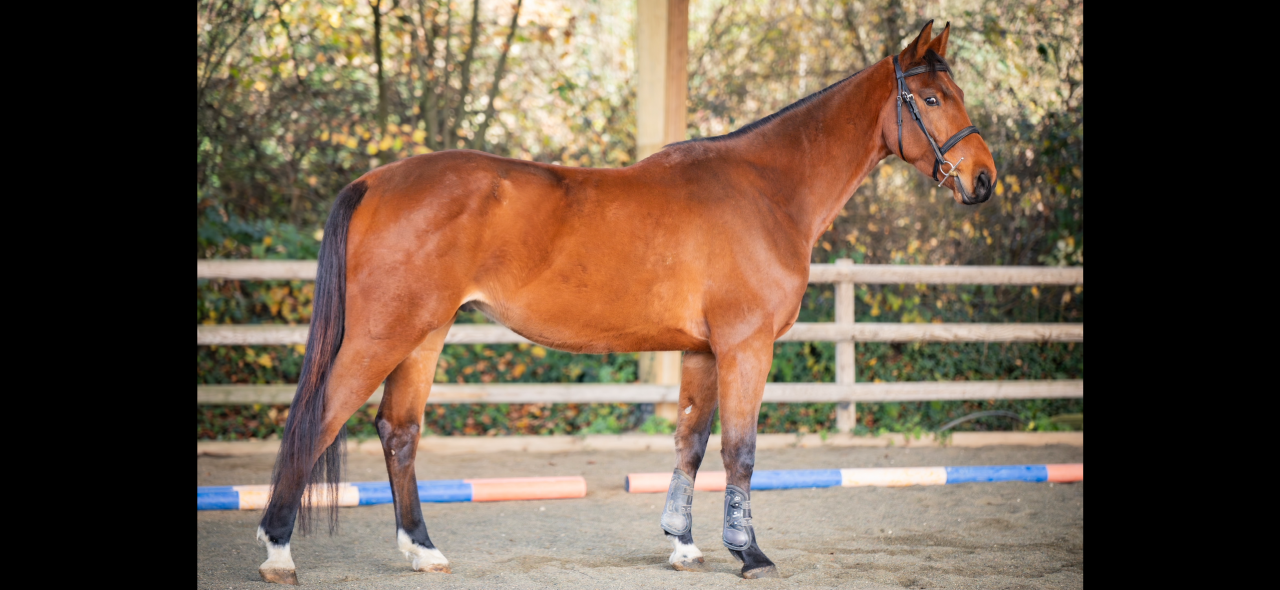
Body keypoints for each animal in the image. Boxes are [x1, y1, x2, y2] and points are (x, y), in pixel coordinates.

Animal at [253, 20, 995, 584]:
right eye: (930, 99)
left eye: (954, 92)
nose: (984, 179)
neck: (765, 189)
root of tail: (376, 181)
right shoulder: (746, 346)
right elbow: (740, 450)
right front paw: (749, 552)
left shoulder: (702, 351)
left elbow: (691, 442)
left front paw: (683, 544)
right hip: (385, 332)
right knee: (319, 419)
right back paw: (279, 552)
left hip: (425, 334)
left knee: (398, 431)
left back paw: (423, 550)